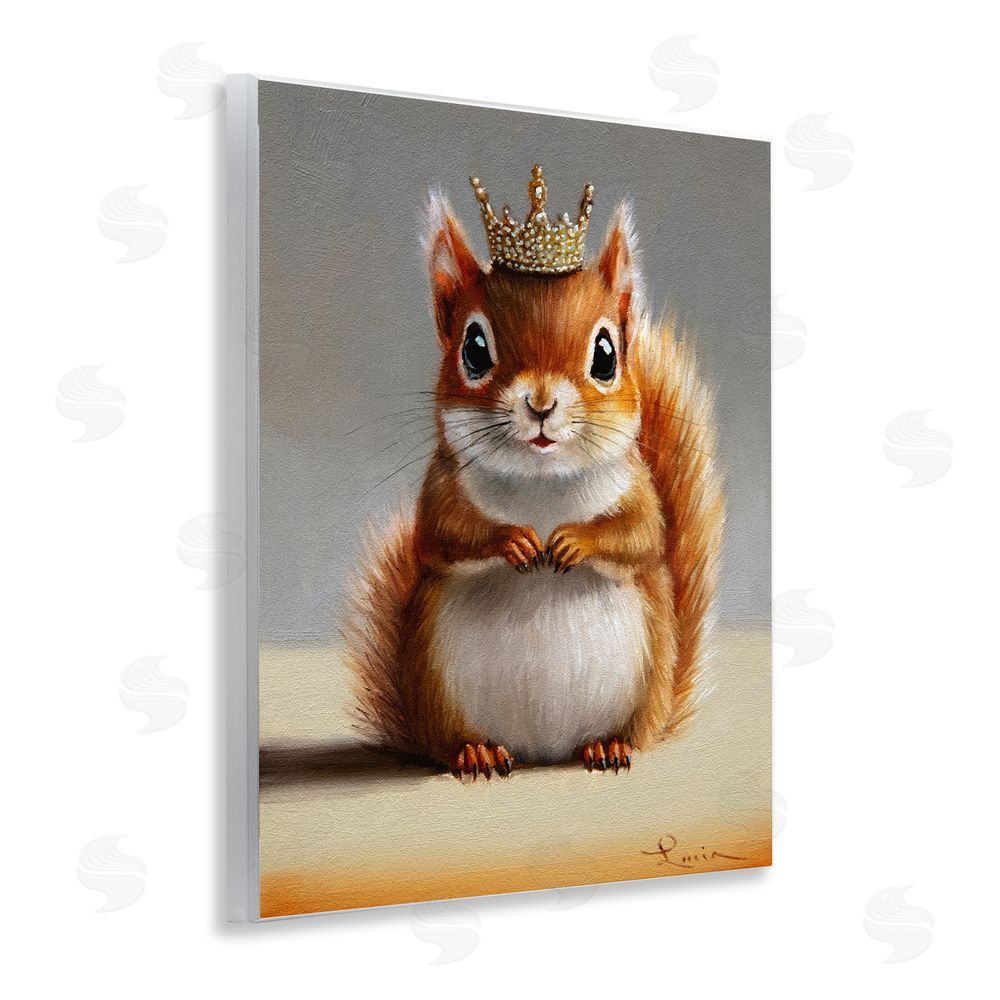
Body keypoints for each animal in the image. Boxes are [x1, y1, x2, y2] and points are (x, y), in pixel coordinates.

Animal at [342, 171, 723, 780]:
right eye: (474, 348)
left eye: (606, 354)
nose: (540, 404)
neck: (542, 485)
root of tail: (542, 751)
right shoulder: (441, 487)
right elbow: (444, 534)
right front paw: (514, 541)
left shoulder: (638, 490)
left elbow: (641, 535)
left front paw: (572, 542)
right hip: (435, 683)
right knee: (452, 742)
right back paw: (475, 751)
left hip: (645, 684)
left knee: (629, 734)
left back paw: (609, 745)